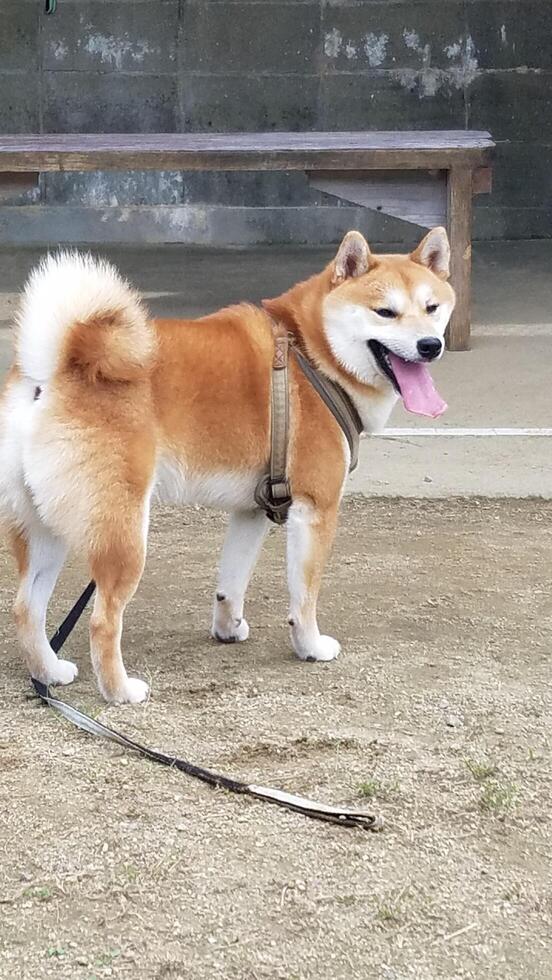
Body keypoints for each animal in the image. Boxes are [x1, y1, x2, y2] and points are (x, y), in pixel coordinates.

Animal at [0, 230, 452, 704]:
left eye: (432, 308)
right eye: (385, 312)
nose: (430, 346)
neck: (312, 353)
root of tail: (53, 367)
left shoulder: (253, 509)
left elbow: (231, 581)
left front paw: (228, 628)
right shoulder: (315, 509)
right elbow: (305, 597)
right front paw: (310, 646)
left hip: (44, 527)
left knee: (26, 609)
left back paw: (50, 673)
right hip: (122, 530)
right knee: (103, 620)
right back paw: (120, 690)